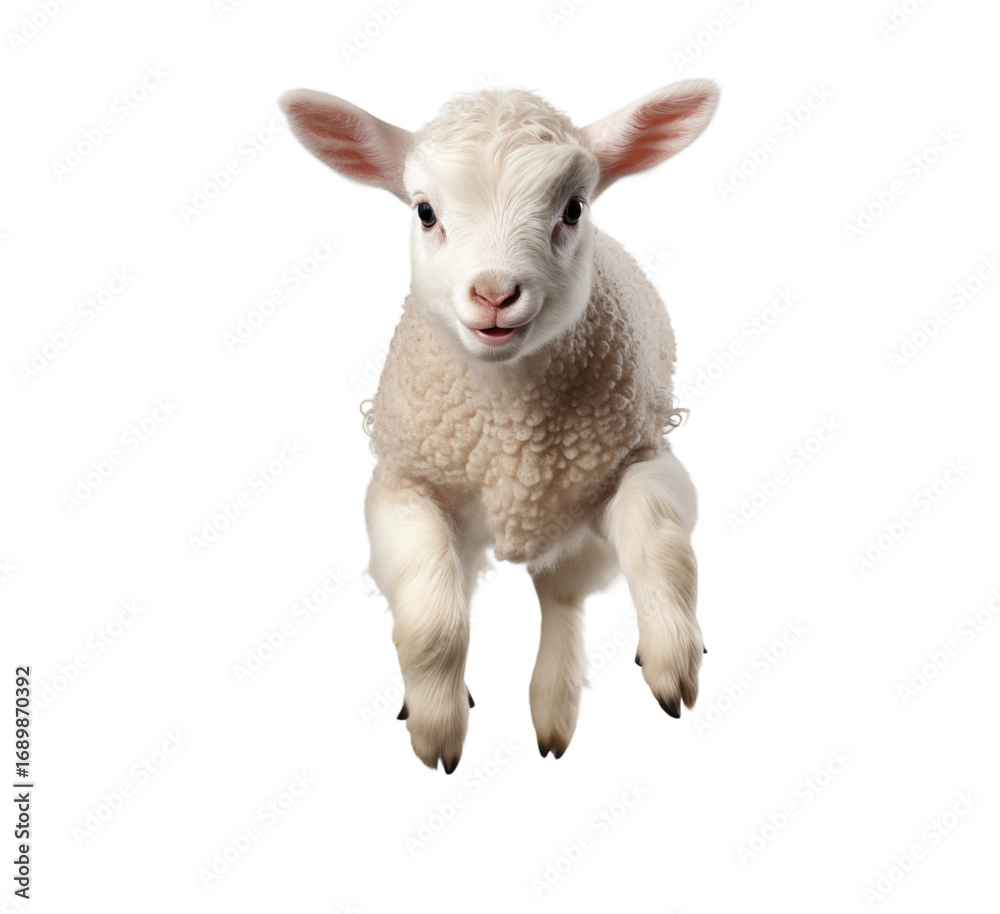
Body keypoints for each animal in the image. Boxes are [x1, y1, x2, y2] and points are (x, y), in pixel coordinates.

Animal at [280, 79, 719, 772]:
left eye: (574, 208)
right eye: (425, 212)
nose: (494, 294)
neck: (511, 436)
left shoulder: (641, 456)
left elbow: (656, 536)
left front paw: (673, 655)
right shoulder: (404, 485)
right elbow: (436, 618)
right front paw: (436, 722)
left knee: (561, 597)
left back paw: (553, 715)